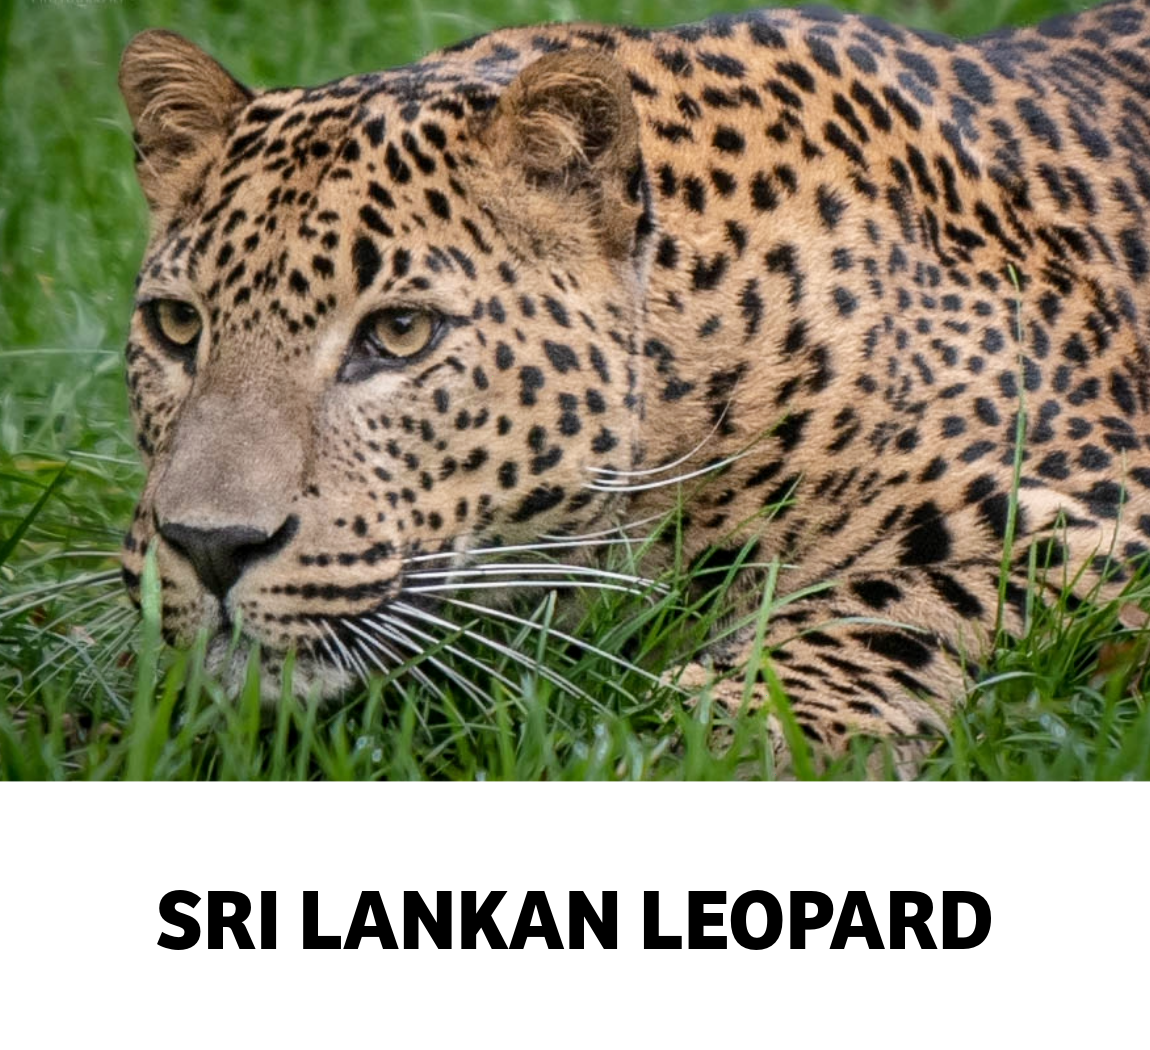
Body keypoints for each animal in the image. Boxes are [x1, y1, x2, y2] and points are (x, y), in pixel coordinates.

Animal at [118, 0, 1150, 774]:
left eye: (399, 333)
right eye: (178, 326)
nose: (209, 547)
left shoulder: (1098, 509)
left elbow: (887, 602)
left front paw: (709, 739)